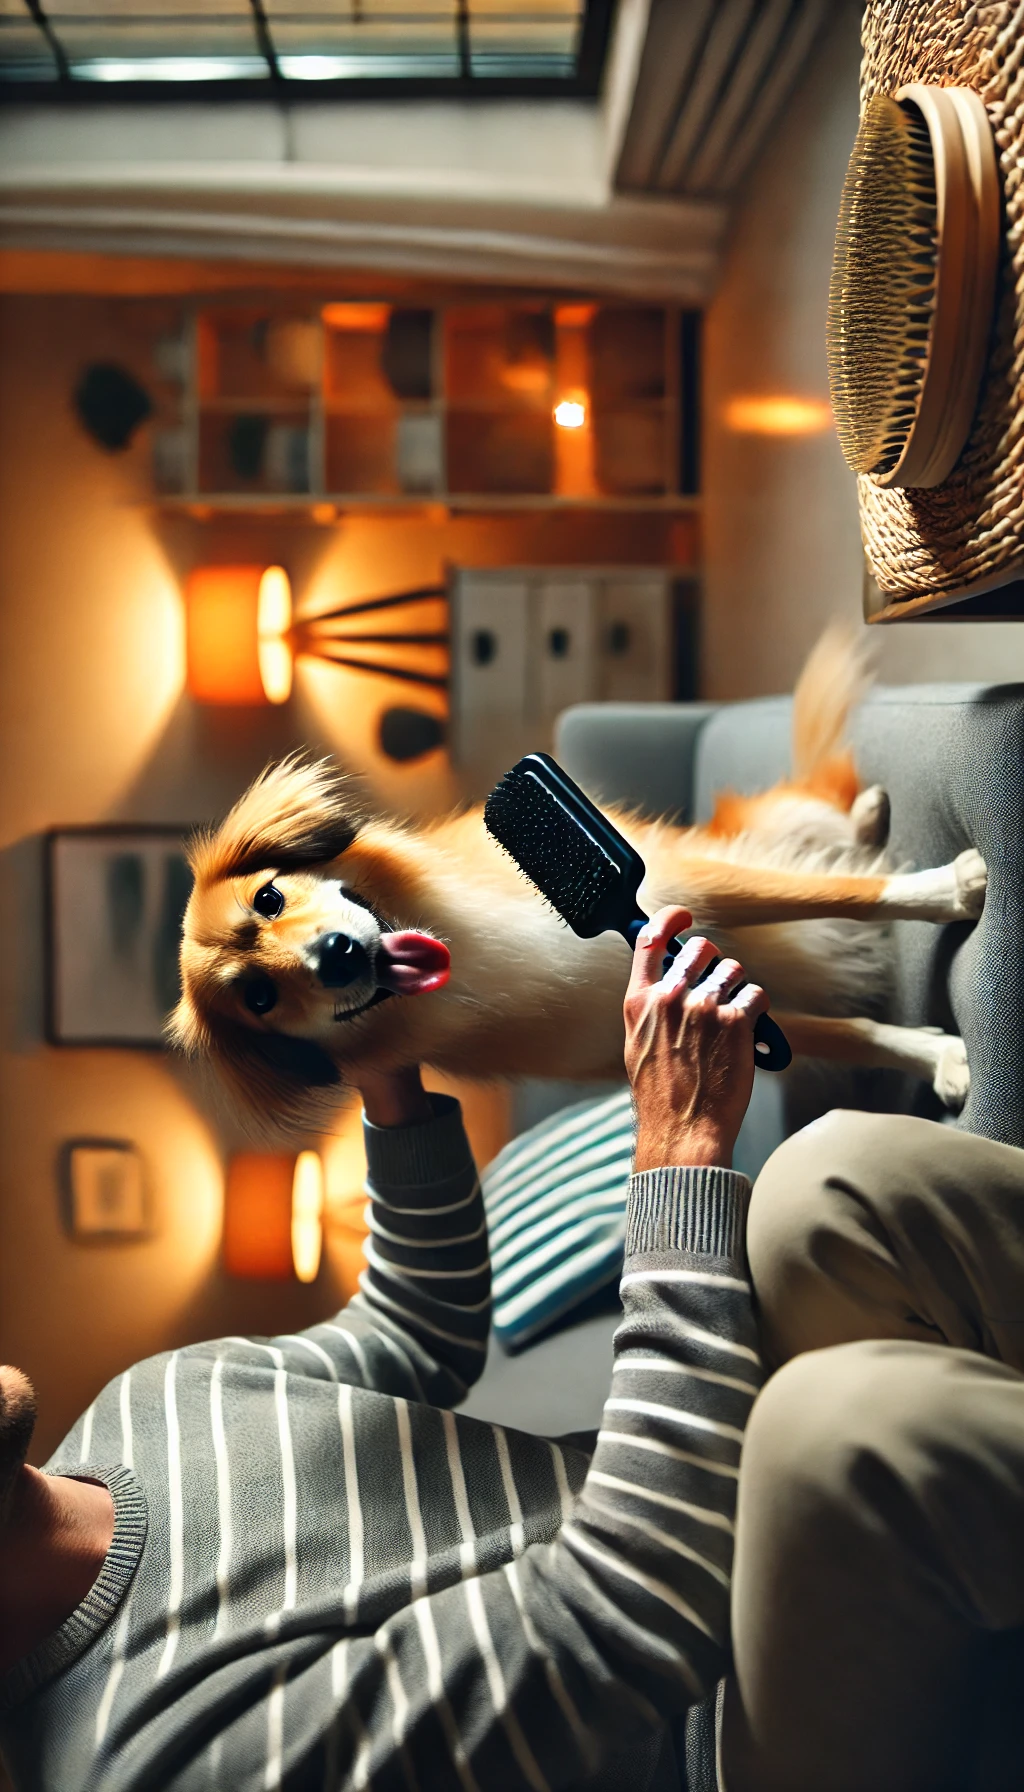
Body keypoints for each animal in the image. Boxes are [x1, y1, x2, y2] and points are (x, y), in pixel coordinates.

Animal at [172, 630, 989, 1132]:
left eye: (270, 897)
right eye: (260, 998)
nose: (337, 957)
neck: (470, 955)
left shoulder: (689, 887)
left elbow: (847, 893)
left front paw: (951, 887)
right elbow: (846, 1033)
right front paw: (940, 1057)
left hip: (759, 834)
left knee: (825, 828)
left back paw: (869, 815)